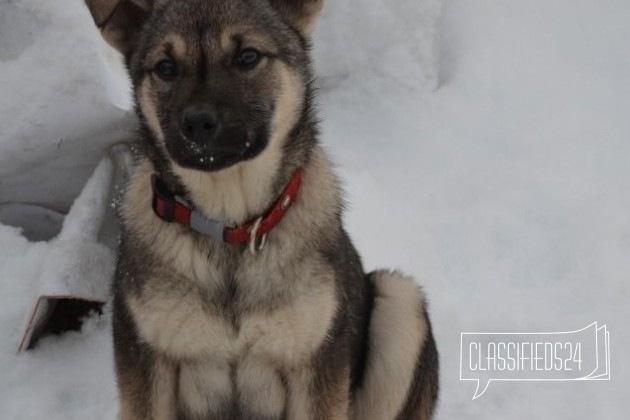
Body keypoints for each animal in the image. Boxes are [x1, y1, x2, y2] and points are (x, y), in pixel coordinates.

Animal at [85, 0, 440, 420]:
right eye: (166, 68)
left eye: (248, 56)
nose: (197, 124)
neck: (230, 225)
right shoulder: (147, 360)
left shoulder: (313, 364)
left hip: (401, 300)